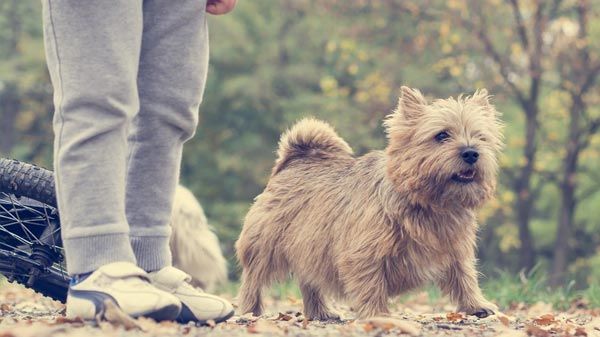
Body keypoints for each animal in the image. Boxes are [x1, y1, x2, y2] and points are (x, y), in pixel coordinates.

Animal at [234, 86, 502, 318]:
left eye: (480, 137)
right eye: (442, 135)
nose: (471, 152)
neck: (431, 203)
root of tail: (295, 160)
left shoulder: (455, 247)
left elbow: (465, 276)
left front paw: (477, 304)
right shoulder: (364, 252)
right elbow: (370, 283)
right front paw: (377, 314)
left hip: (310, 249)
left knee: (309, 282)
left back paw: (320, 312)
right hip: (264, 245)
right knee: (253, 279)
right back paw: (250, 310)